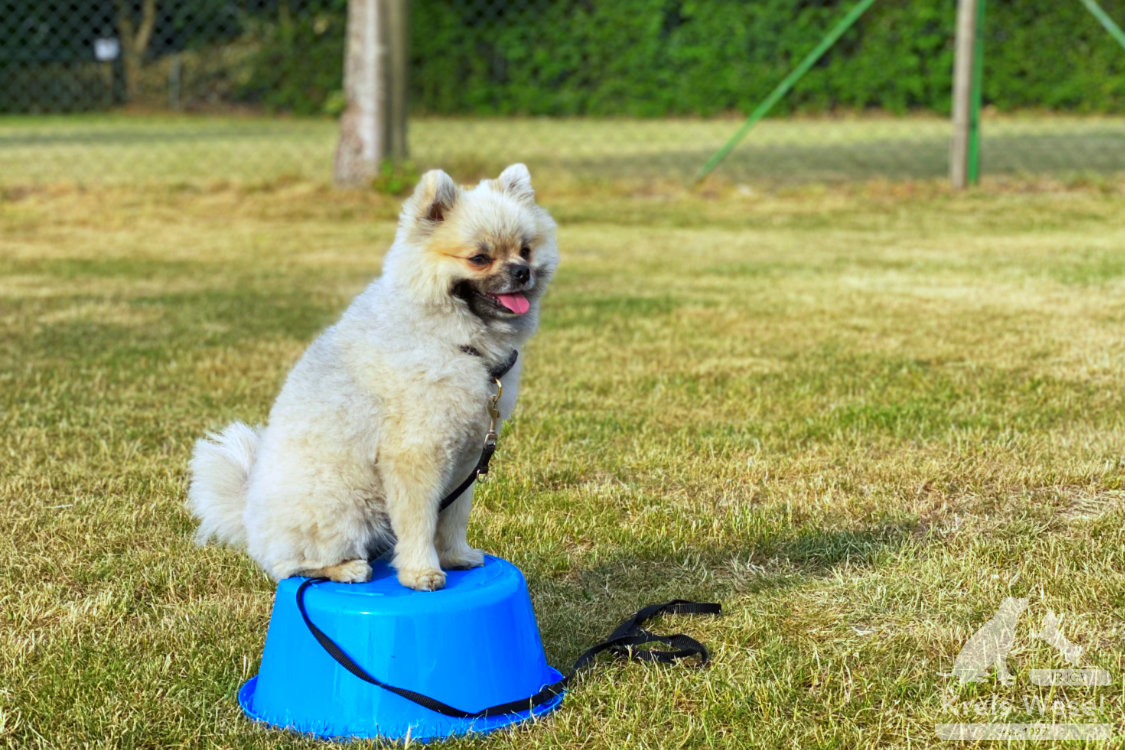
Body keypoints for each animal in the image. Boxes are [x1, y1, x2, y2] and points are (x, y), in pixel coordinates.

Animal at [186, 165, 560, 593]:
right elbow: (419, 522)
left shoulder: (466, 458)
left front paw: (456, 556)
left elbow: (453, 517)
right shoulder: (416, 455)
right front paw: (422, 571)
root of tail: (249, 518)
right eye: (480, 258)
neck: (451, 339)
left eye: (525, 250)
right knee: (290, 566)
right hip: (342, 504)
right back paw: (346, 568)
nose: (522, 271)